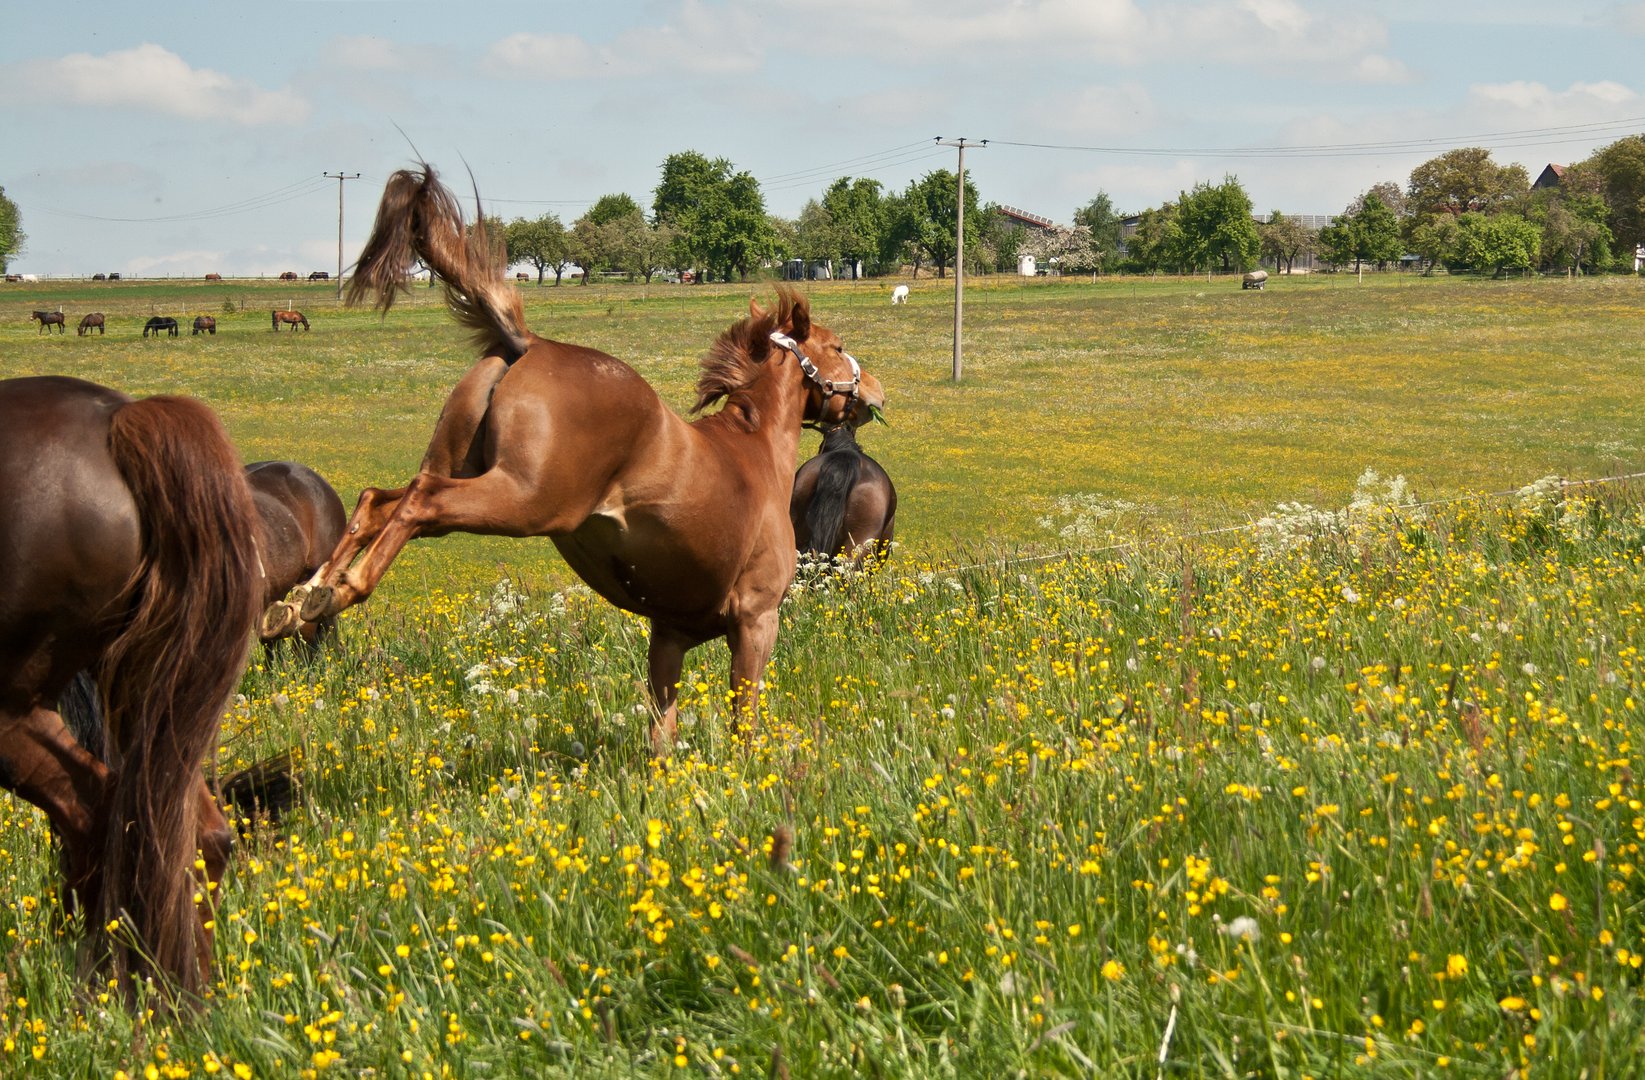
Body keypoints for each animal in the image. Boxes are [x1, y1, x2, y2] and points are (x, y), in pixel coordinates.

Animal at [263, 164, 884, 753]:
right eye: (836, 346)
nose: (874, 391)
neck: (753, 450)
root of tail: (528, 344)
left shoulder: (669, 635)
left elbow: (662, 735)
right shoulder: (757, 621)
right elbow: (744, 721)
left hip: (464, 470)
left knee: (379, 501)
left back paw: (301, 600)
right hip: (525, 500)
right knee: (419, 501)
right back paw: (340, 590)